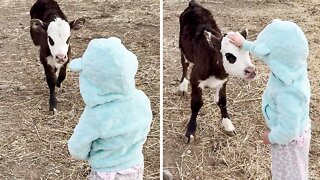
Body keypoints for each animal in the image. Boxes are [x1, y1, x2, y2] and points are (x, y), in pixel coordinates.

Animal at [179, 0, 256, 143]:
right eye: (229, 55)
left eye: (248, 52)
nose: (251, 71)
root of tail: (194, 4)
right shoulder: (195, 79)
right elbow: (197, 104)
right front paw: (190, 131)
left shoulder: (223, 81)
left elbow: (222, 101)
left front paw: (228, 124)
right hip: (183, 47)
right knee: (184, 64)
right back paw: (182, 86)